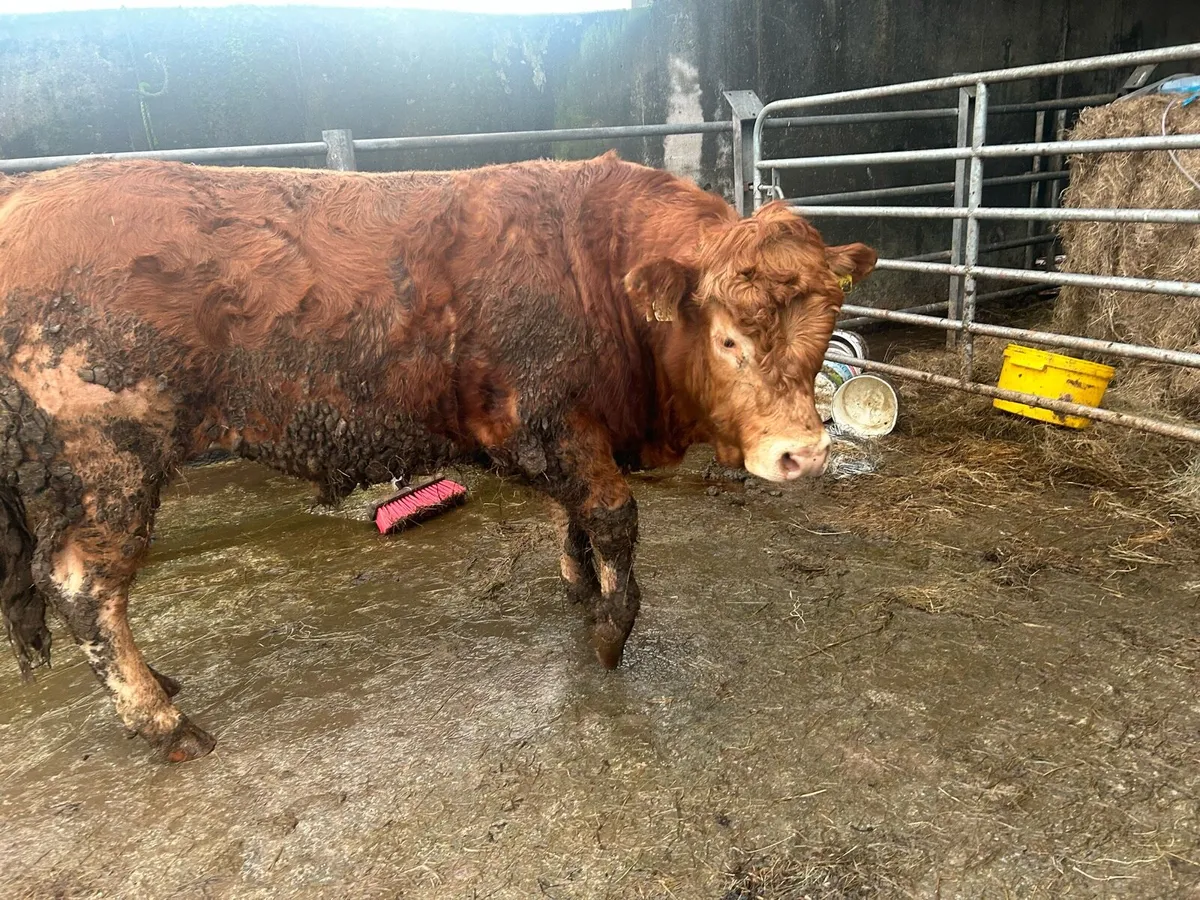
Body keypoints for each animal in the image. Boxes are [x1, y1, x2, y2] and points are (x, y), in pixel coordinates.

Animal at [0, 152, 875, 762]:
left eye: (827, 328)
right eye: (727, 338)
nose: (802, 454)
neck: (592, 265)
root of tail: (27, 197)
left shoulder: (572, 425)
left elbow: (573, 517)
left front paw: (578, 586)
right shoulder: (553, 419)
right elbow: (611, 517)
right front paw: (609, 627)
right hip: (108, 457)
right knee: (82, 583)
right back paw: (163, 718)